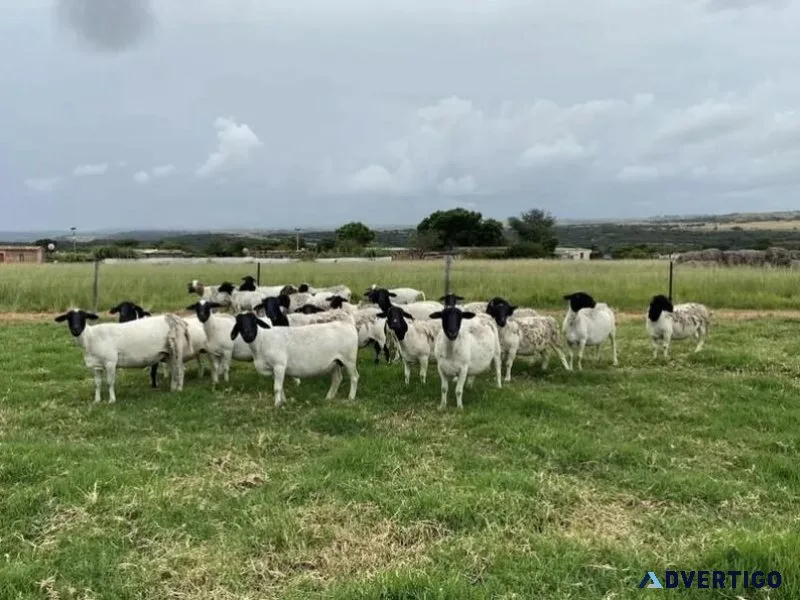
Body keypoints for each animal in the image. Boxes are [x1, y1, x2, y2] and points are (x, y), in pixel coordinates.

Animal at [54, 308, 190, 403]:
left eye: (83, 317)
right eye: (69, 318)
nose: (76, 330)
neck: (91, 337)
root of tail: (176, 319)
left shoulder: (110, 361)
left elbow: (109, 382)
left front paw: (112, 400)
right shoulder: (97, 365)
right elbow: (97, 383)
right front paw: (97, 401)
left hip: (176, 348)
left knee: (180, 370)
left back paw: (179, 390)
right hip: (168, 353)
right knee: (175, 370)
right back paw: (172, 390)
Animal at [230, 311, 360, 407]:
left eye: (254, 321)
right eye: (239, 323)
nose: (248, 334)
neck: (262, 340)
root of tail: (348, 324)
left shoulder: (279, 365)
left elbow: (277, 388)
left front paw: (277, 405)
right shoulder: (274, 369)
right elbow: (280, 387)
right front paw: (283, 402)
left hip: (349, 359)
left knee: (354, 377)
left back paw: (351, 398)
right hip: (335, 362)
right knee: (337, 379)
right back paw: (329, 398)